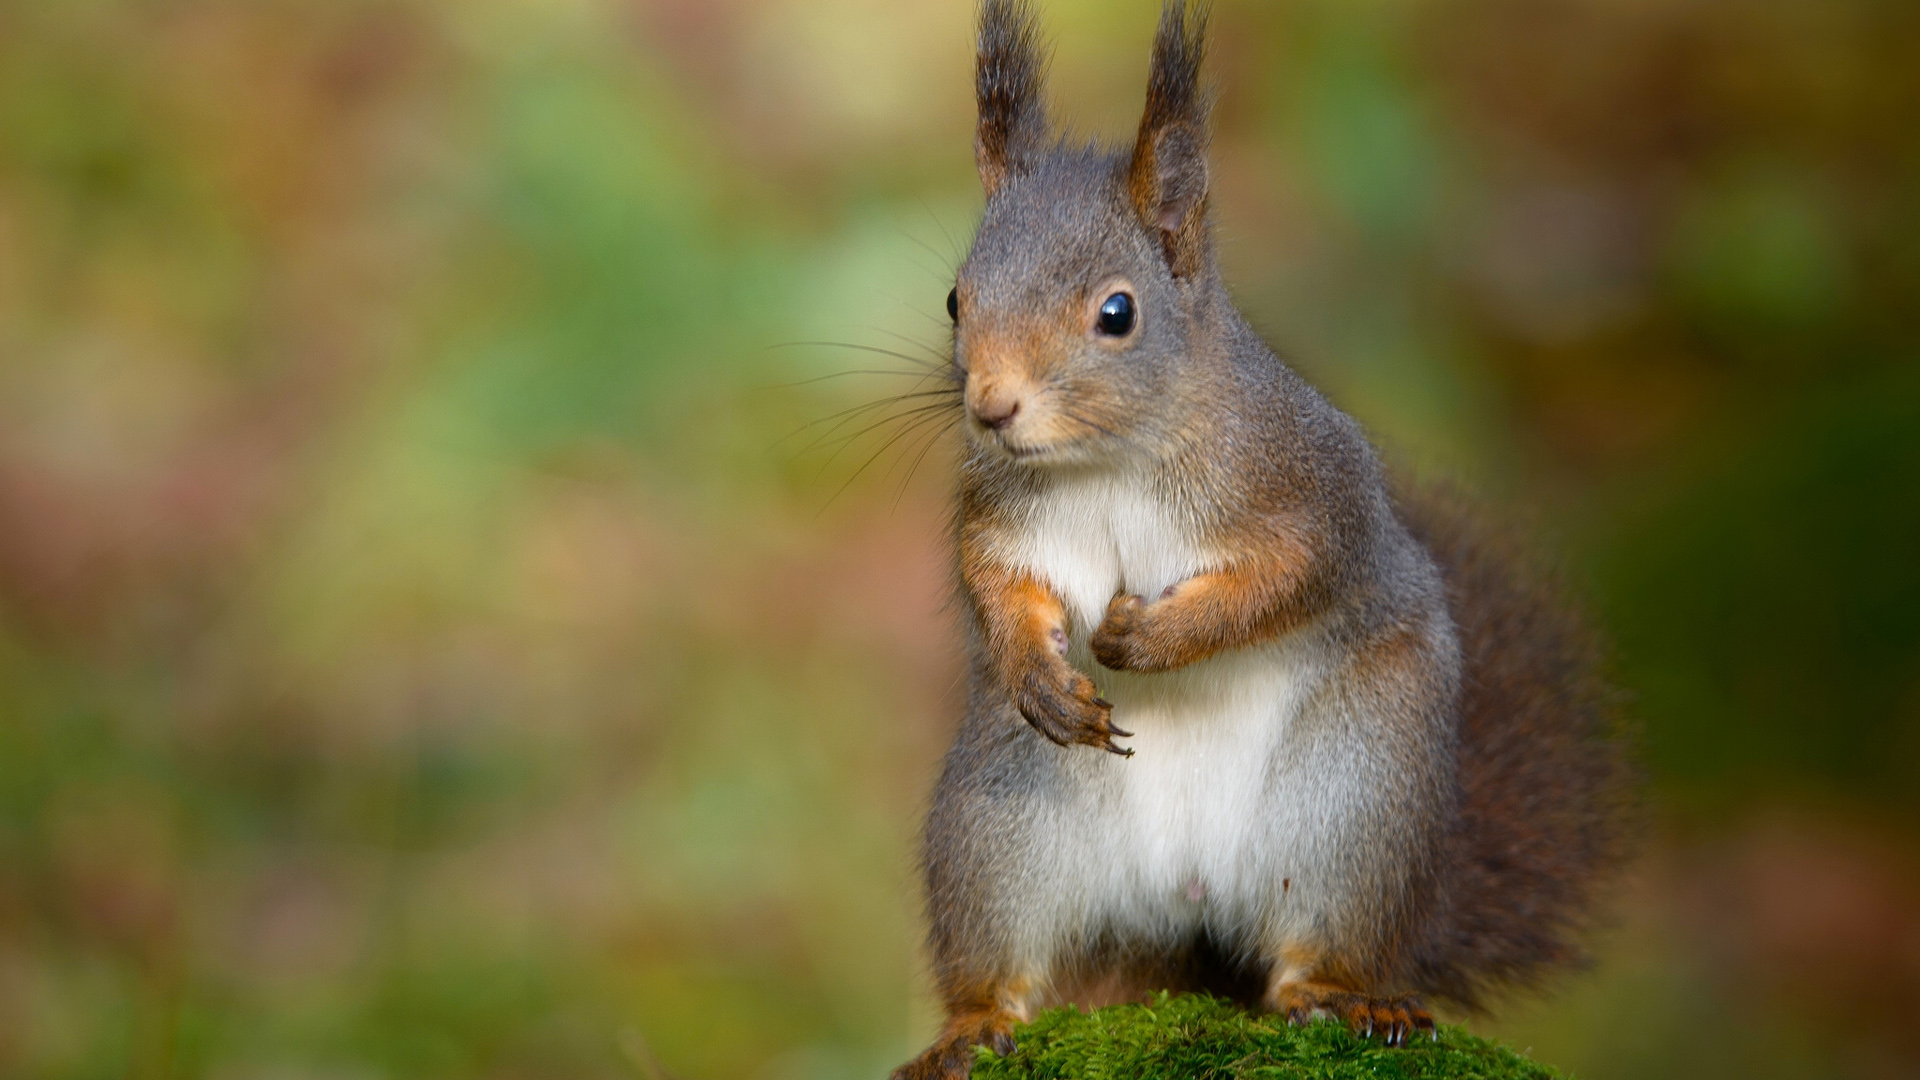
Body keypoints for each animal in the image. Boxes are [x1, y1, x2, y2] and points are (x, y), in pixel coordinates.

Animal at [890, 2, 1643, 1076]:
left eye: (1116, 313)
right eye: (958, 299)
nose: (991, 408)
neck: (1107, 461)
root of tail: (1187, 911)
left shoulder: (1313, 489)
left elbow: (1289, 578)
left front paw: (1149, 638)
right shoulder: (1002, 514)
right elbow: (997, 581)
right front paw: (1039, 671)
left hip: (1357, 798)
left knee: (1318, 945)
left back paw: (1344, 996)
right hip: (1003, 823)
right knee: (1007, 956)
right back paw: (975, 1024)